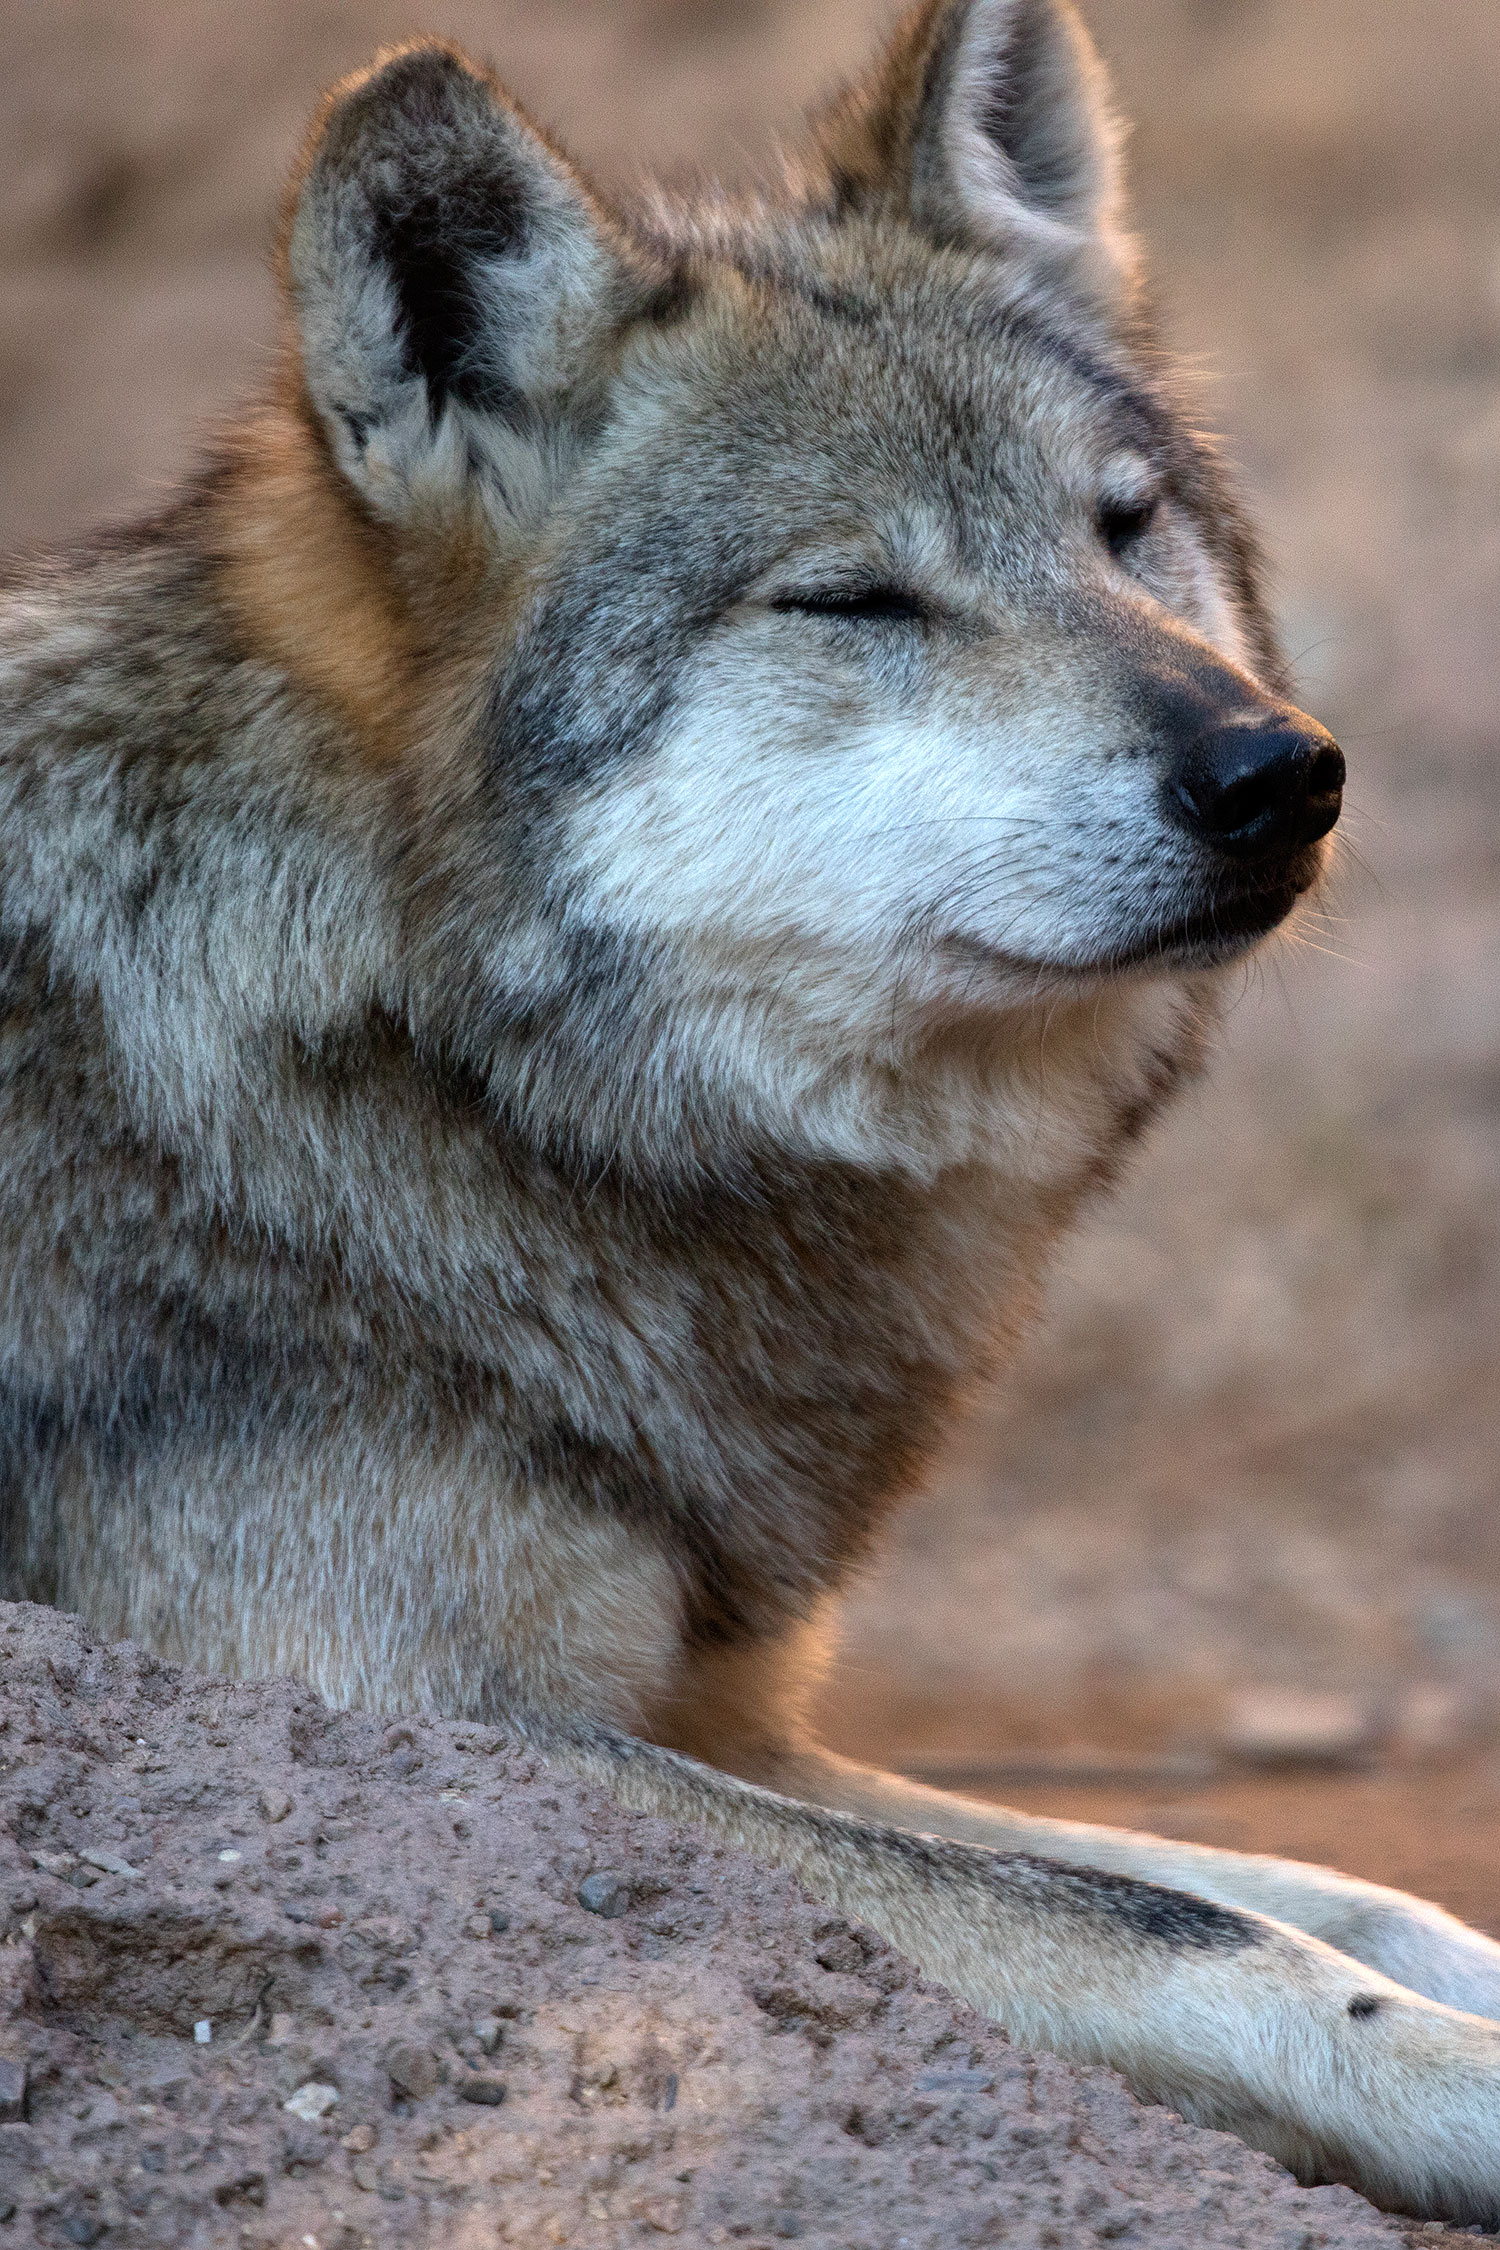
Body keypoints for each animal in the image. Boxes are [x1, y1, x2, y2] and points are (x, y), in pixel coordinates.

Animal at [1, 0, 1497, 2220]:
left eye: (1123, 528)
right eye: (855, 602)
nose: (1280, 773)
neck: (415, 1055)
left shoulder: (712, 1708)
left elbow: (1332, 1891)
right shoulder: (415, 1722)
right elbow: (1187, 1925)